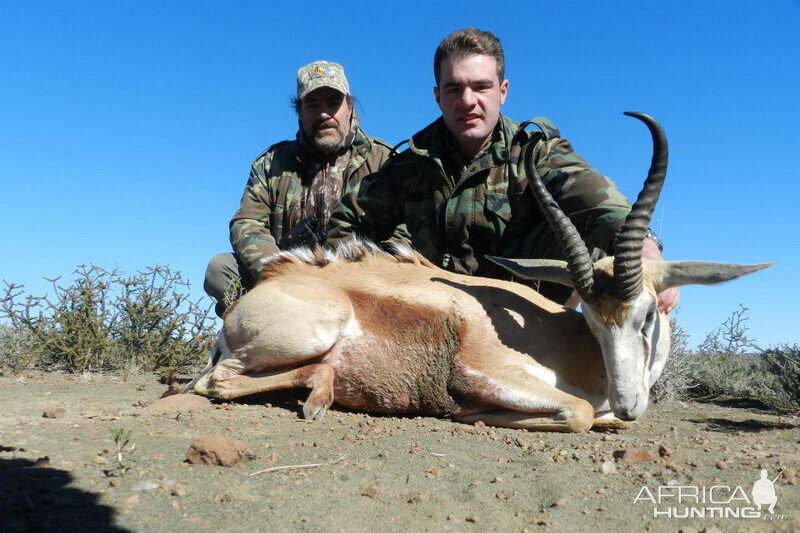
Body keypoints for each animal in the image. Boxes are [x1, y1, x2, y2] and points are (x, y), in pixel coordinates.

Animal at [192, 113, 768, 432]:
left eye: (647, 314)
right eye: (590, 319)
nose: (629, 404)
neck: (572, 347)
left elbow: (592, 414)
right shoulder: (481, 370)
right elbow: (580, 412)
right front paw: (465, 412)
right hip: (311, 331)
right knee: (215, 382)